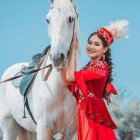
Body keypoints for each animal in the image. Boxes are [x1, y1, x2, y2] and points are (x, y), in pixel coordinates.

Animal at [0, 0, 79, 139]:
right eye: (48, 20)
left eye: (71, 19)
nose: (57, 57)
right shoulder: (44, 129)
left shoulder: (71, 132)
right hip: (9, 129)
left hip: (30, 130)